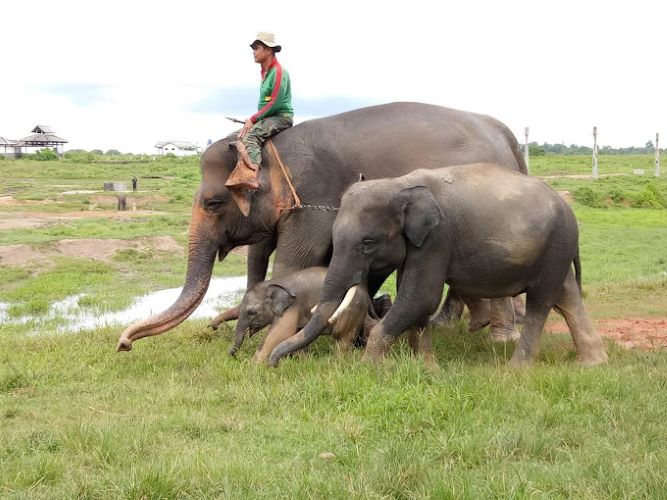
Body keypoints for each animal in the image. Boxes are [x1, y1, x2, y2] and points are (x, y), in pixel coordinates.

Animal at [118, 101, 528, 352]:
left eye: (213, 203)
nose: (124, 343)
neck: (272, 149)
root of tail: (507, 135)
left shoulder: (314, 198)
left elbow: (295, 263)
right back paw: (458, 326)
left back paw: (501, 338)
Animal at [214, 268, 380, 362]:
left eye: (251, 312)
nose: (232, 355)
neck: (274, 282)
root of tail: (366, 293)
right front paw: (302, 361)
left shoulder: (293, 306)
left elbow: (279, 333)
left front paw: (255, 365)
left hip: (352, 310)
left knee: (343, 338)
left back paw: (336, 362)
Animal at [270, 164, 612, 368]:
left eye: (367, 243)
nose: (272, 363)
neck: (401, 183)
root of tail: (567, 207)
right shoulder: (418, 246)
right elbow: (414, 297)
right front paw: (423, 364)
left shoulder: (437, 239)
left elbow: (421, 295)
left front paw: (370, 368)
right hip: (554, 249)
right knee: (567, 295)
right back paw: (594, 363)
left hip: (555, 246)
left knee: (542, 302)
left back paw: (516, 370)